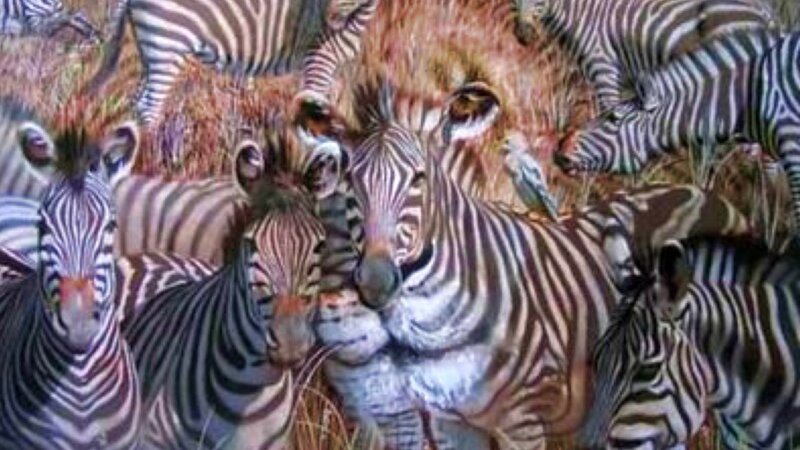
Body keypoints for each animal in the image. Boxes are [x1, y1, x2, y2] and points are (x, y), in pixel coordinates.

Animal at [86, 0, 378, 127]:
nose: (327, 20)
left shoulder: (341, 66)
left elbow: (340, 105)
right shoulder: (319, 59)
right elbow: (314, 106)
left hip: (151, 52)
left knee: (137, 102)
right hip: (168, 44)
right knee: (150, 106)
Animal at [294, 79, 756, 450]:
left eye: (419, 179)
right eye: (352, 180)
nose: (373, 282)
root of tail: (705, 193)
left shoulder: (524, 422)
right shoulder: (452, 423)